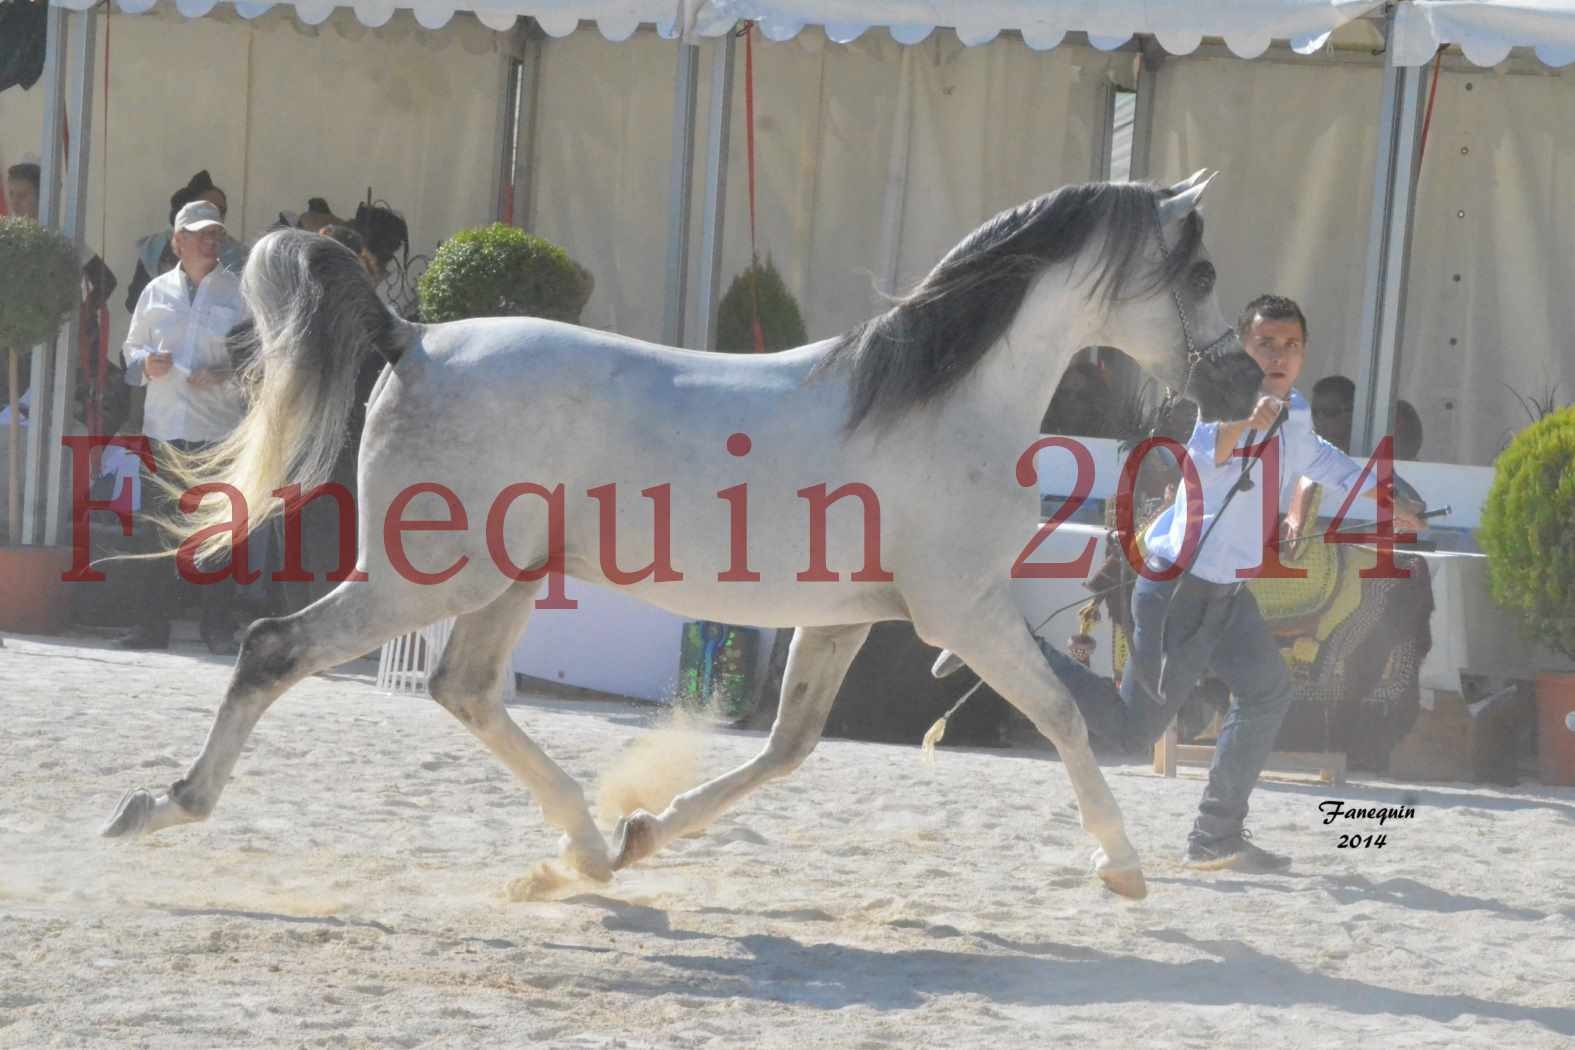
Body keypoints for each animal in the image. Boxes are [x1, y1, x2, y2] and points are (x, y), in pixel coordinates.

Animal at [104, 172, 1247, 906]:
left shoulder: (844, 620)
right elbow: (1061, 716)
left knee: (464, 691)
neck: (936, 401)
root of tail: (413, 338)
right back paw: (160, 806)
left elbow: (787, 750)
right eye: (1197, 276)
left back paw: (587, 852)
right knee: (275, 650)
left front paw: (647, 830)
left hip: (505, 580)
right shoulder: (964, 612)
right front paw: (1122, 866)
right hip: (423, 578)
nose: (1240, 385)